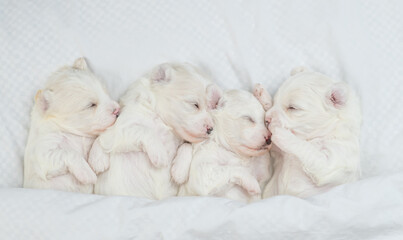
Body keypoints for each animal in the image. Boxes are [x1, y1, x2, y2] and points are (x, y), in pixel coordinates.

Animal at [23, 57, 120, 193]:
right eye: (91, 105)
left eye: (106, 92)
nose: (118, 110)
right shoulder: (42, 154)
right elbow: (69, 153)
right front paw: (88, 174)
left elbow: (101, 136)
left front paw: (97, 160)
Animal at [90, 63, 221, 199]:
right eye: (195, 104)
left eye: (212, 107)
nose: (211, 129)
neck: (163, 121)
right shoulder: (119, 128)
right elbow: (143, 130)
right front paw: (160, 155)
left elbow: (187, 145)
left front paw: (179, 172)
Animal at [258, 67, 362, 199]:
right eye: (275, 101)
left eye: (292, 108)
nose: (267, 120)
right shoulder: (279, 153)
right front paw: (263, 95)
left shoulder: (333, 160)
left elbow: (307, 149)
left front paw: (281, 133)